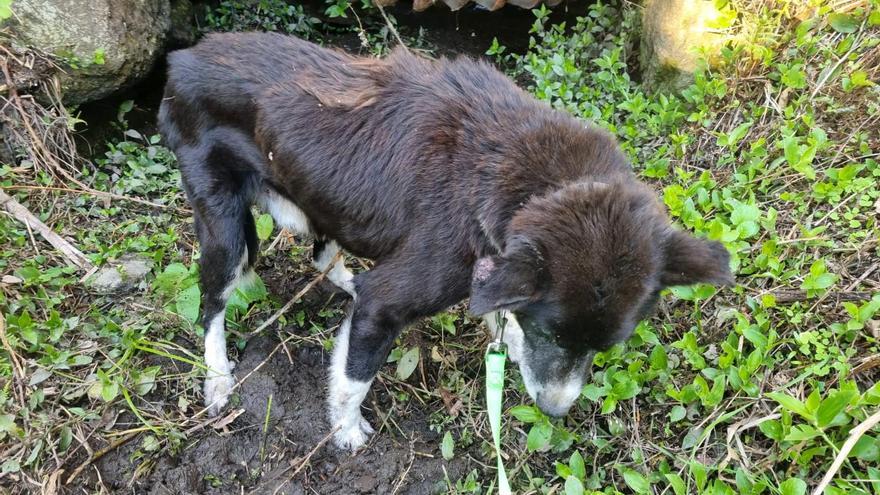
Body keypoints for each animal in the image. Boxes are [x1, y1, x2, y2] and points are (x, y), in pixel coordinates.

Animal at [160, 30, 736, 450]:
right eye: (552, 335)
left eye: (606, 348)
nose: (554, 411)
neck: (531, 178)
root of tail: (182, 58)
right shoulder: (388, 303)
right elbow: (353, 379)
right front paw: (345, 432)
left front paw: (506, 337)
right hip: (225, 228)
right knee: (211, 303)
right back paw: (217, 378)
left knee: (324, 253)